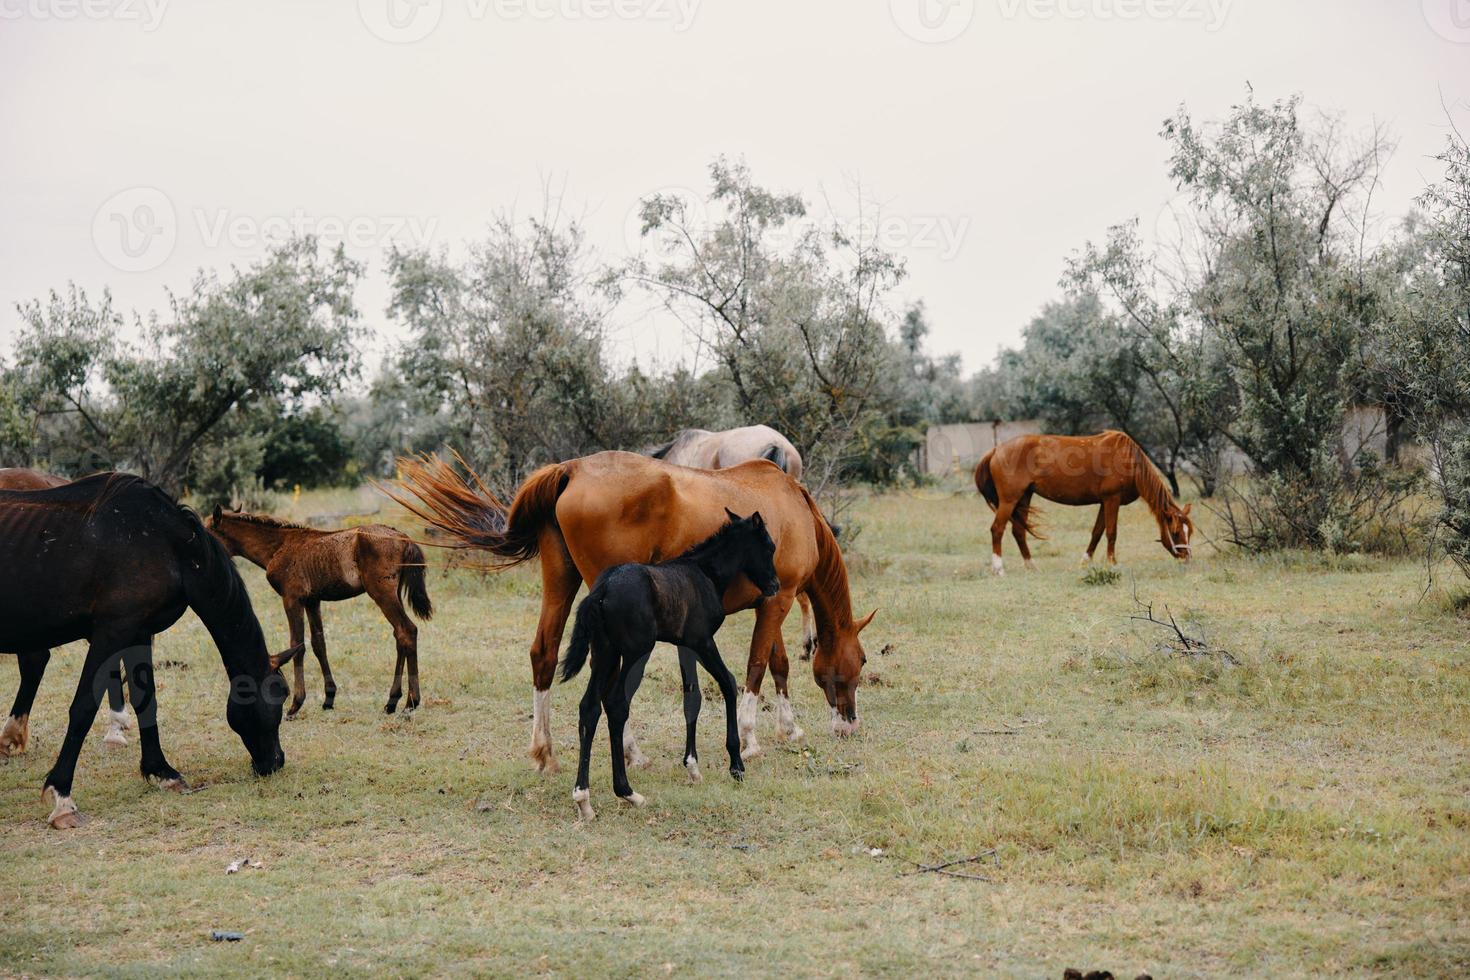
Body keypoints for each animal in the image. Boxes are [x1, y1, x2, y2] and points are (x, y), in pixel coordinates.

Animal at [0, 476, 295, 828]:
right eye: (279, 696)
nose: (275, 761)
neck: (166, 543)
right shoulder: (112, 632)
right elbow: (83, 708)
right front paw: (62, 798)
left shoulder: (139, 632)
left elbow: (145, 699)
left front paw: (162, 772)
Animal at [208, 511, 435, 717]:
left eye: (208, 533)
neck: (278, 546)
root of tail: (405, 538)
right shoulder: (312, 601)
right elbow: (319, 644)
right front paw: (328, 698)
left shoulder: (292, 599)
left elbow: (297, 645)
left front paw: (295, 704)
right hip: (393, 594)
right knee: (399, 635)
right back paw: (392, 702)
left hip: (381, 593)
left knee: (407, 630)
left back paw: (410, 703)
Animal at [385, 452, 876, 775]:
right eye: (863, 660)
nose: (850, 724)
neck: (795, 508)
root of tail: (571, 470)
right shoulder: (779, 599)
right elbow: (757, 667)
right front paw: (752, 741)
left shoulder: (773, 600)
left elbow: (779, 664)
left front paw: (789, 728)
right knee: (608, 684)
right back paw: (630, 752)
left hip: (561, 580)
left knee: (544, 654)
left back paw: (545, 752)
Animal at [555, 511, 782, 816]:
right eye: (769, 547)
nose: (774, 585)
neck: (705, 573)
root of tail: (601, 590)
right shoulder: (703, 641)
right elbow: (728, 682)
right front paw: (736, 765)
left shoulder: (684, 646)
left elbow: (692, 697)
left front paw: (693, 767)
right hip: (637, 652)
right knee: (616, 705)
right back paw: (628, 792)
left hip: (605, 652)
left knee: (589, 707)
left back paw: (583, 798)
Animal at [976, 431, 1193, 575]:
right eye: (1175, 532)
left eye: (1188, 532)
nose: (1187, 558)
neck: (1128, 459)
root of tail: (996, 450)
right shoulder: (1112, 500)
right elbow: (1111, 533)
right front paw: (1112, 563)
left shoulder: (1105, 502)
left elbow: (1097, 533)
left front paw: (1085, 562)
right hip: (1009, 500)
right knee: (997, 529)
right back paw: (999, 569)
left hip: (1024, 497)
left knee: (1018, 532)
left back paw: (1032, 566)